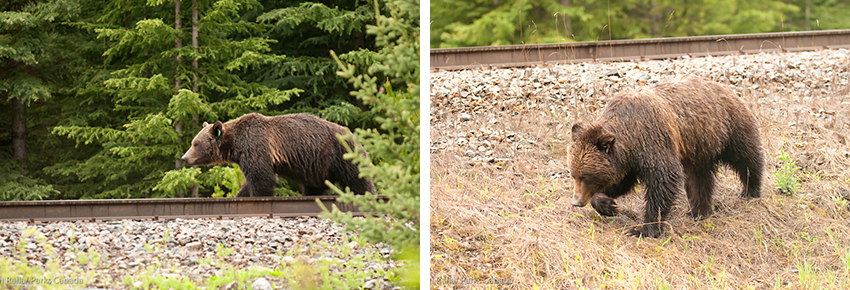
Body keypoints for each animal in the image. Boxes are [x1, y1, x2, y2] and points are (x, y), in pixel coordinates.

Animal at [181, 112, 372, 197]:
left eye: (195, 143)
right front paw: (240, 195)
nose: (184, 158)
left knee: (357, 178)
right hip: (318, 167)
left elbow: (261, 178)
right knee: (315, 185)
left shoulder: (256, 146)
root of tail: (354, 135)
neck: (235, 144)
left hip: (340, 154)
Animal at [568, 76, 760, 238]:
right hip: (699, 147)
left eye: (586, 176)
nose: (576, 201)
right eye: (574, 174)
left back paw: (750, 191)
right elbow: (621, 184)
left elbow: (664, 179)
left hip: (729, 128)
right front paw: (609, 205)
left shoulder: (652, 138)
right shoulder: (628, 161)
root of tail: (726, 87)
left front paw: (643, 229)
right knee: (698, 179)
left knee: (746, 158)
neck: (629, 138)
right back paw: (698, 211)